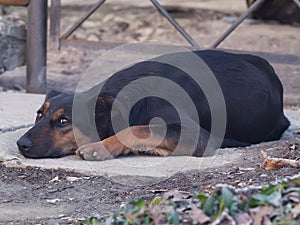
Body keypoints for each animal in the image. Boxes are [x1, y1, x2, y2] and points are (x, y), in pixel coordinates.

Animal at [17, 50, 290, 161]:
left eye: (64, 121)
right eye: (38, 115)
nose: (21, 144)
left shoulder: (199, 135)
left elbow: (137, 129)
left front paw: (100, 148)